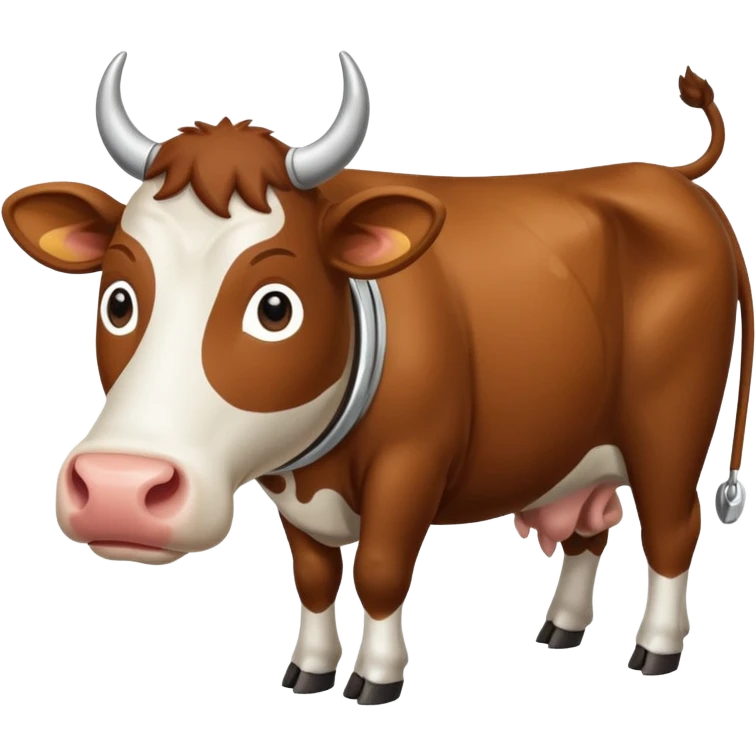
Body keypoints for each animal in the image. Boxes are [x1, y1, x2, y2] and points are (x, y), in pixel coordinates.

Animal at [2, 50, 752, 704]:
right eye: (118, 300)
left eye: (275, 307)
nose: (118, 491)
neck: (316, 467)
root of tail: (662, 178)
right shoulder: (293, 488)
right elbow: (313, 577)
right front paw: (308, 669)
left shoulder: (412, 462)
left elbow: (380, 571)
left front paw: (375, 678)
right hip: (581, 443)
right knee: (593, 526)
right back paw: (561, 627)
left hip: (670, 431)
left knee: (672, 529)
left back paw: (656, 649)